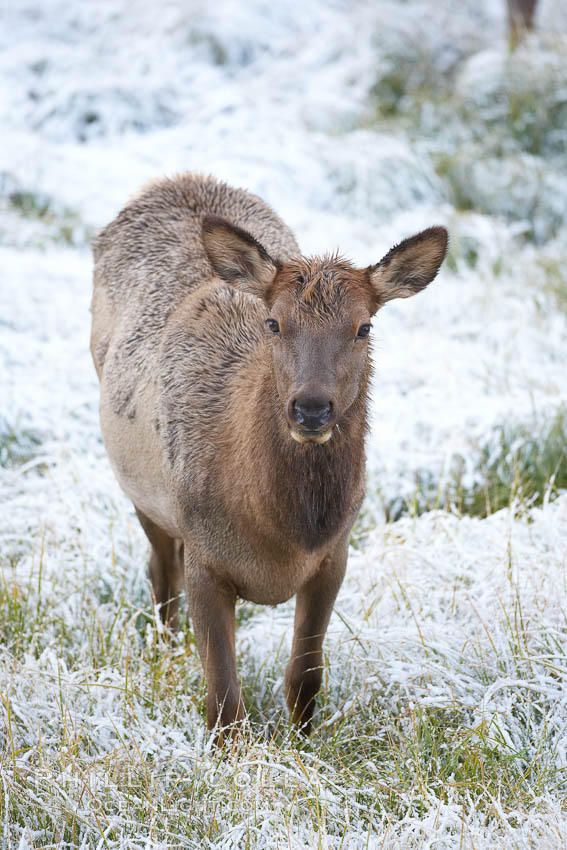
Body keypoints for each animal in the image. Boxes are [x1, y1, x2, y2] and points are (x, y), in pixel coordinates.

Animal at [91, 171, 448, 736]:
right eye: (275, 323)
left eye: (365, 326)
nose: (311, 408)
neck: (283, 534)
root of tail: (174, 180)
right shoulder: (205, 557)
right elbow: (223, 701)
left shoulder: (335, 555)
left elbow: (305, 677)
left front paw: (303, 741)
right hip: (141, 489)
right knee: (159, 572)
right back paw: (163, 653)